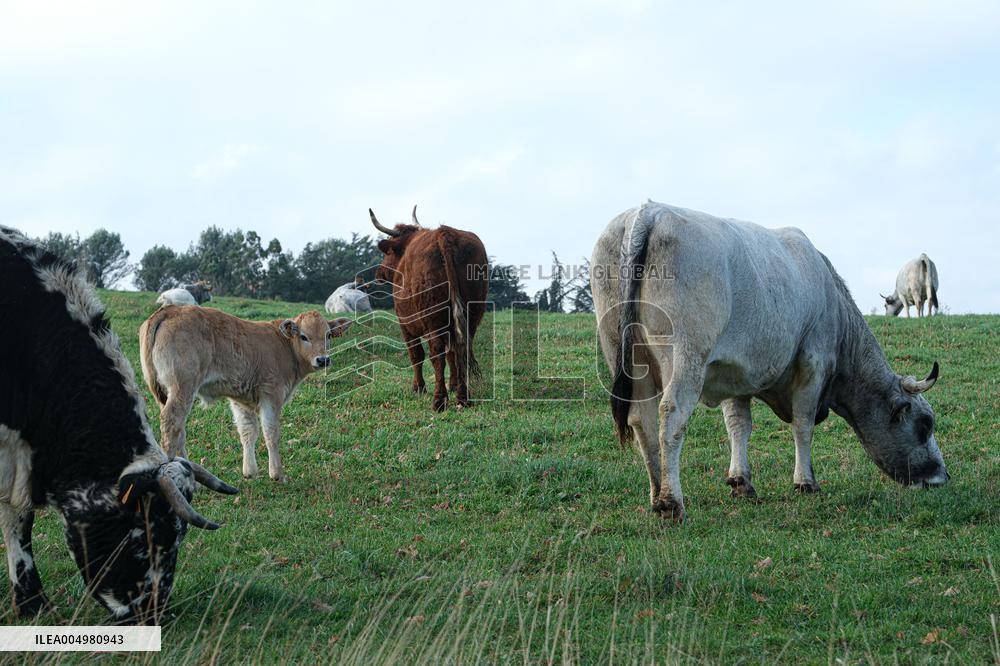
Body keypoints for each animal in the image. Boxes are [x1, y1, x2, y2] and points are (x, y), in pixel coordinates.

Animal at [139, 306, 352, 482]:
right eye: (304, 336)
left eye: (328, 335)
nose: (323, 360)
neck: (284, 346)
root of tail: (170, 309)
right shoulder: (271, 394)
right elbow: (271, 433)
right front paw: (277, 474)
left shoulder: (241, 400)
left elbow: (248, 432)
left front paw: (250, 471)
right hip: (182, 387)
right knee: (171, 423)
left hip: (168, 393)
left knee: (179, 429)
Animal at [369, 205, 489, 411]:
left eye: (388, 253)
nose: (379, 273)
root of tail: (444, 234)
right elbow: (451, 354)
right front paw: (453, 384)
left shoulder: (405, 324)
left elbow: (416, 355)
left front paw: (418, 387)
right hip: (472, 316)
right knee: (461, 349)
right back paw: (463, 397)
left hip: (433, 319)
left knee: (436, 354)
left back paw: (439, 400)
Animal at [591, 202, 947, 522]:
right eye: (925, 423)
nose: (941, 477)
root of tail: (649, 211)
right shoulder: (813, 364)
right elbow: (803, 424)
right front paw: (805, 481)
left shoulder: (733, 371)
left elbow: (739, 425)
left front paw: (741, 482)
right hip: (685, 357)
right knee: (671, 416)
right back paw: (671, 501)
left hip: (626, 356)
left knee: (641, 420)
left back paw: (655, 494)